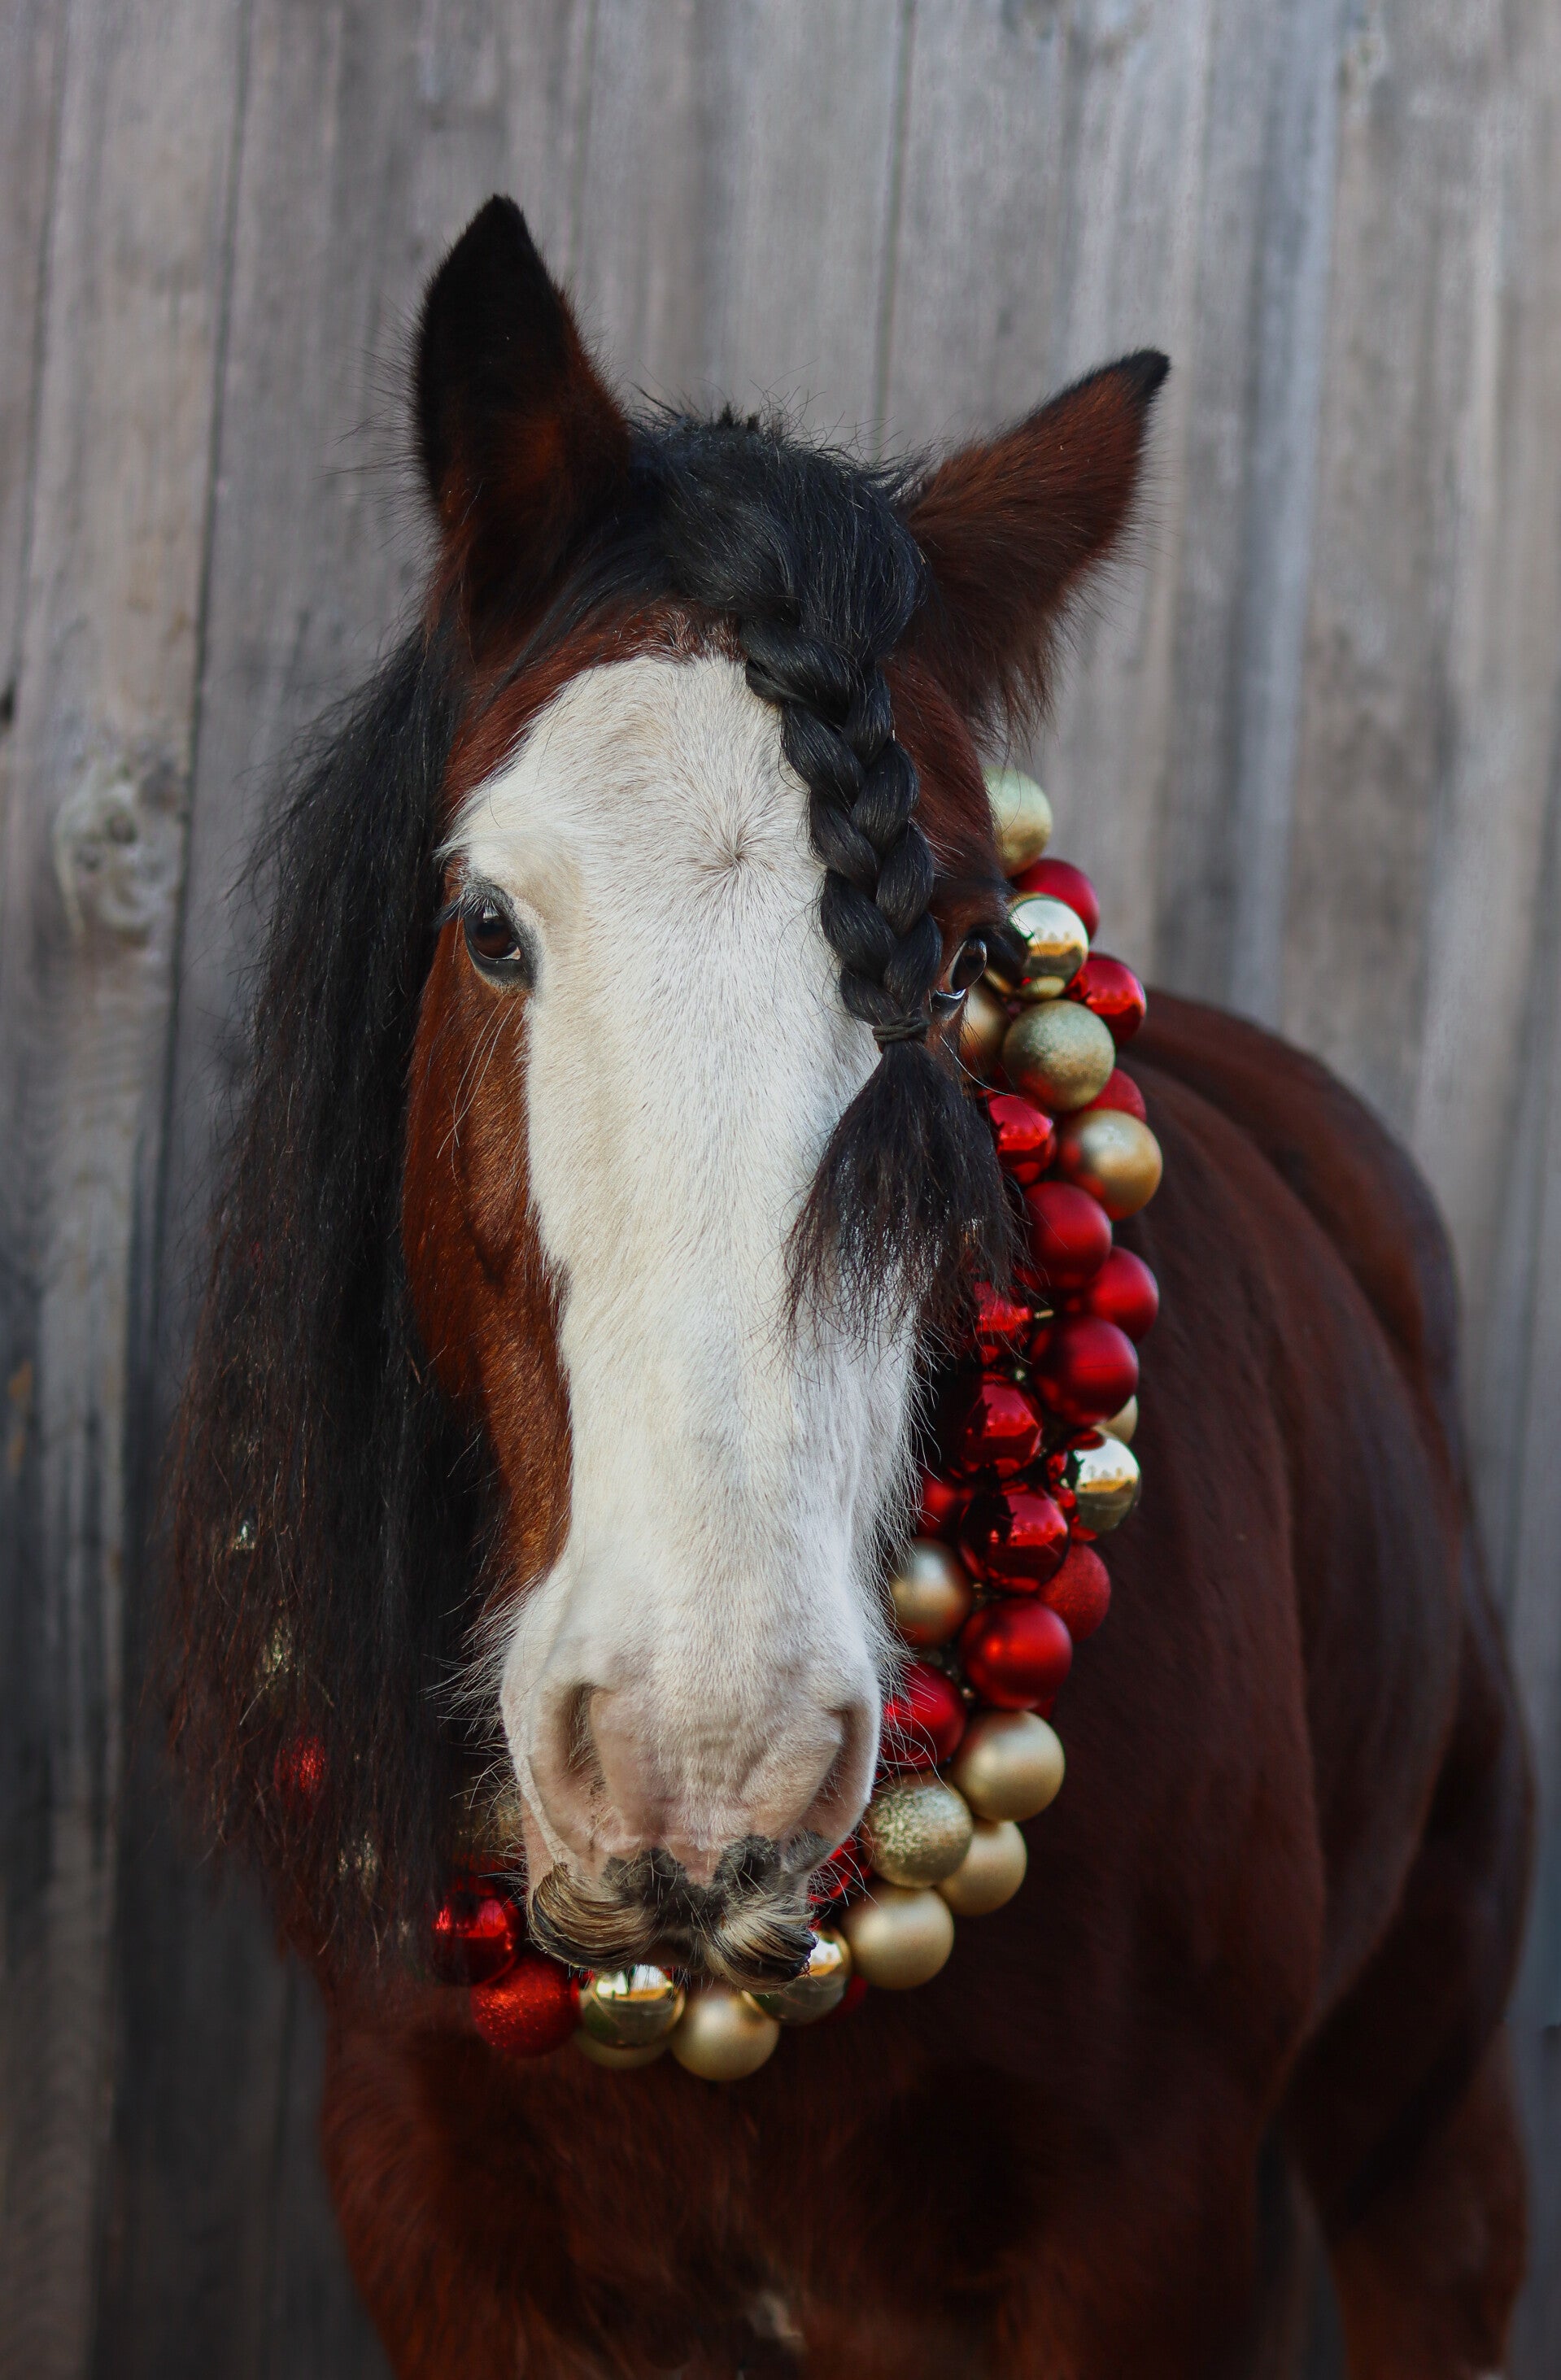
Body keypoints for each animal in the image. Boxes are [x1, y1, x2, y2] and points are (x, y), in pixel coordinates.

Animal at [166, 197, 1531, 2378]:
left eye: (961, 951)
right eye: (488, 923)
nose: (703, 1743)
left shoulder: (1142, 2236)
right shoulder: (438, 2226)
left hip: (1426, 2058)